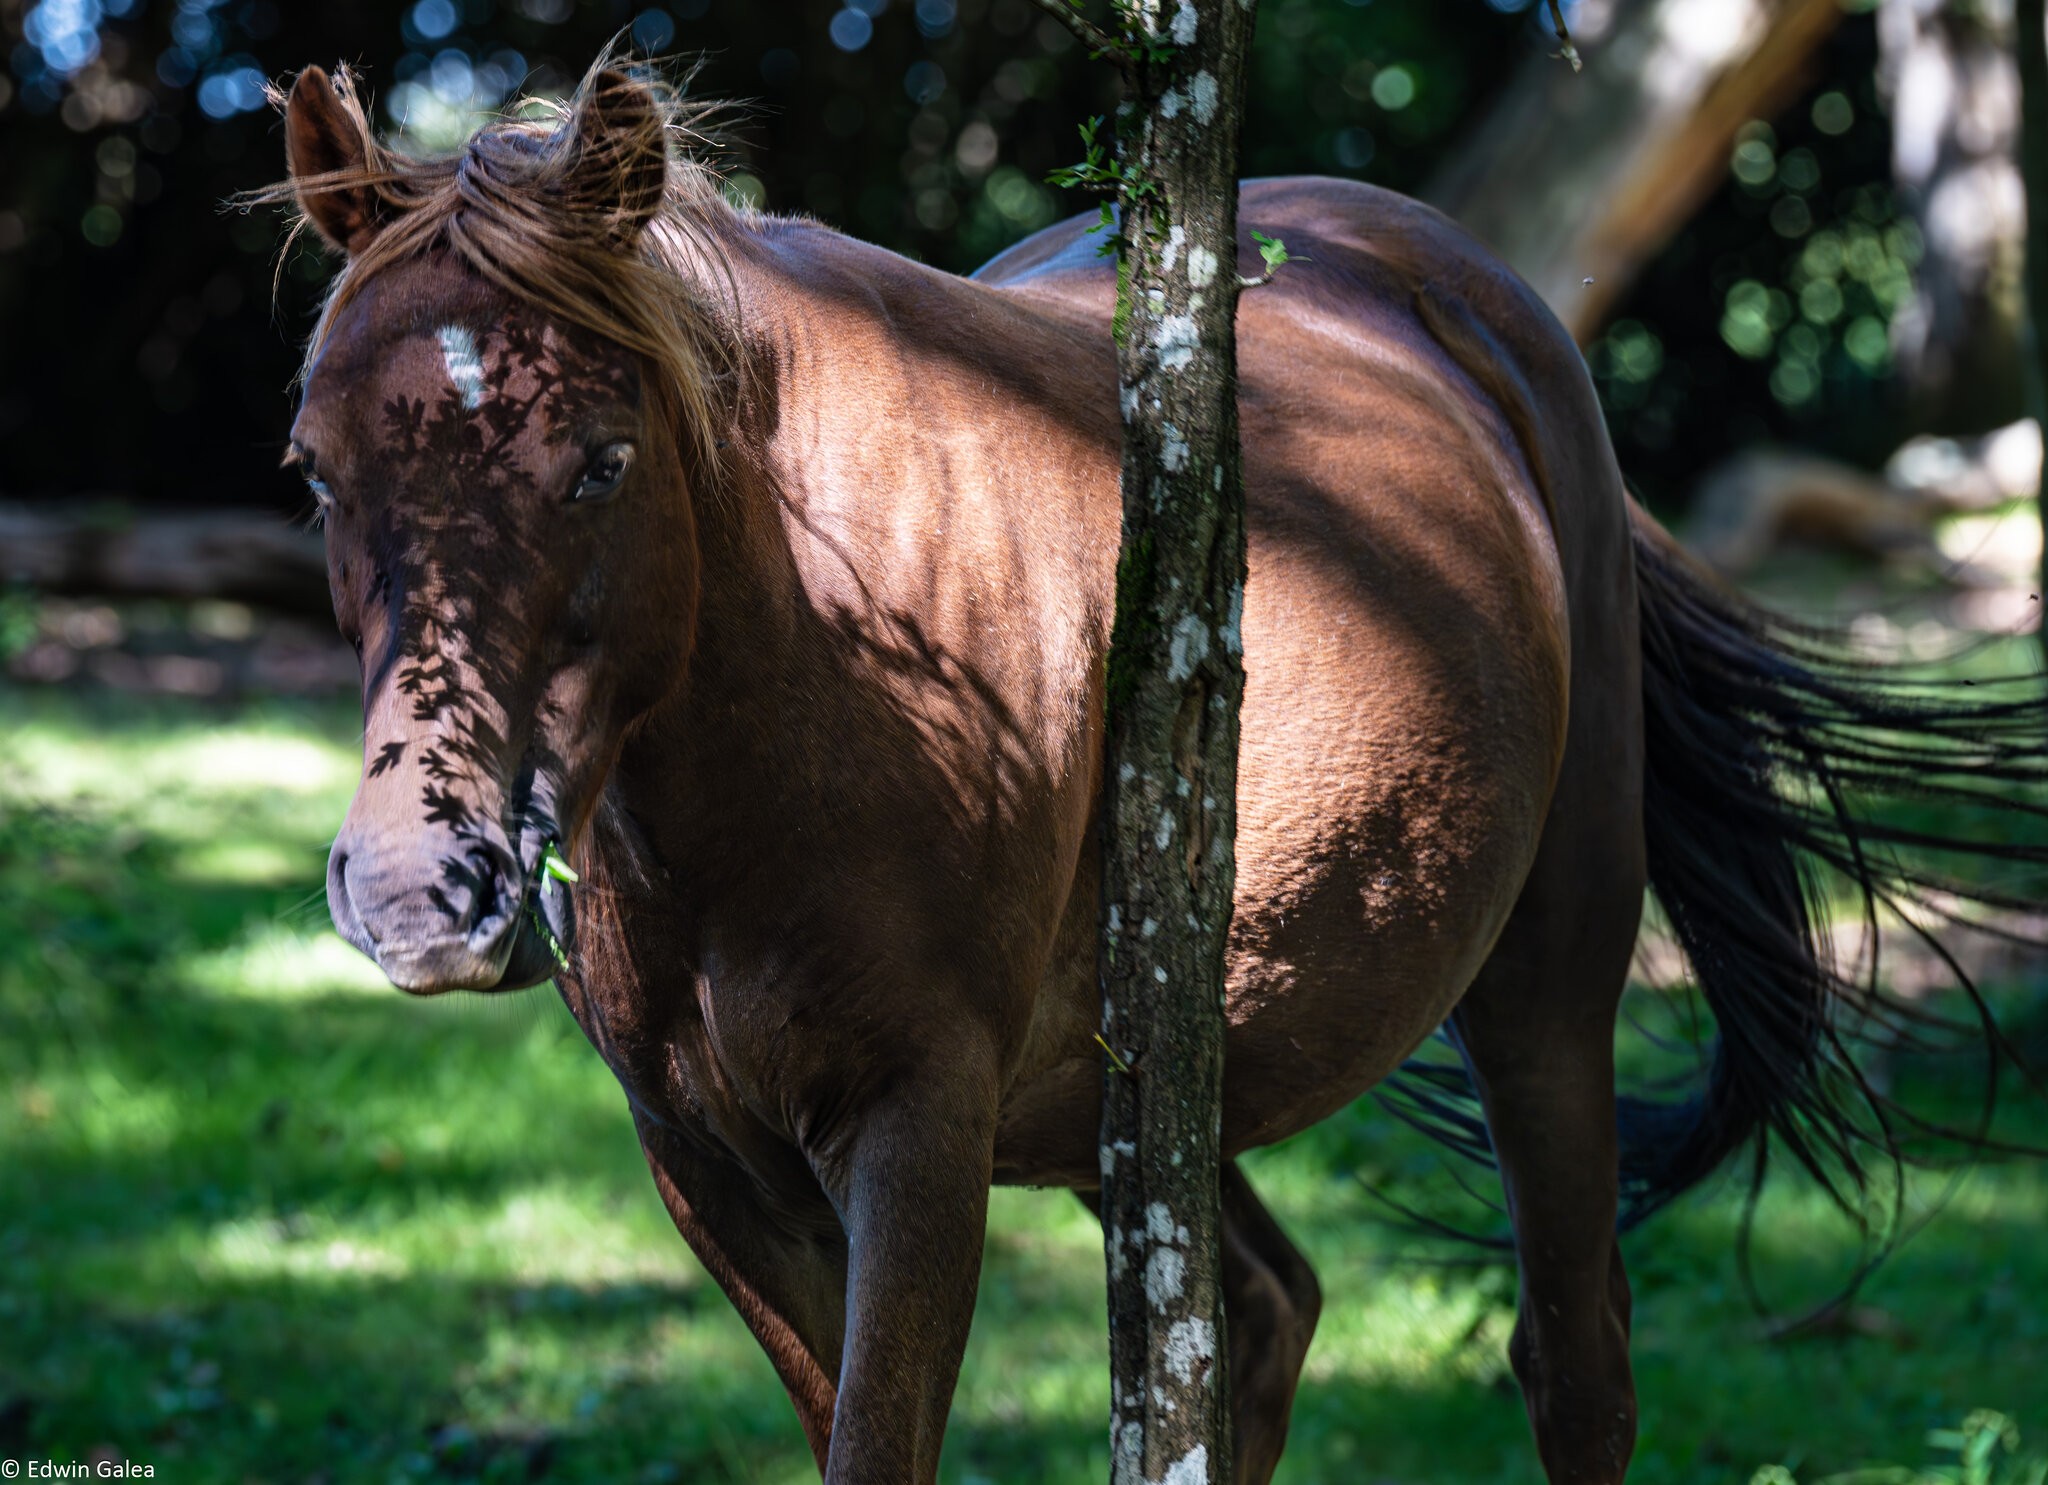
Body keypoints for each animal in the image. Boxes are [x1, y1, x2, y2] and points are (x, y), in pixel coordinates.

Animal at [276, 57, 2048, 1482]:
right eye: (314, 467)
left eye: (602, 461)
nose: (421, 887)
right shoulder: (717, 1173)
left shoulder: (915, 1137)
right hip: (1144, 1095)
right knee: (1263, 1313)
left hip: (1546, 979)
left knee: (1574, 1361)